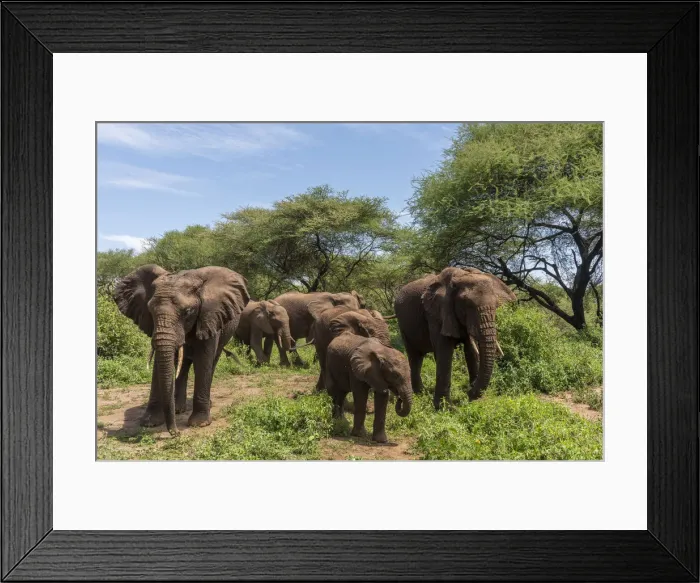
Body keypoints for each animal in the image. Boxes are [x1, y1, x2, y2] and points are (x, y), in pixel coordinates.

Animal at [114, 264, 250, 435]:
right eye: (150, 311)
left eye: (188, 312)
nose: (175, 432)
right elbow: (160, 363)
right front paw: (149, 423)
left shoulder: (209, 317)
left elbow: (203, 361)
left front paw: (200, 424)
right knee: (183, 365)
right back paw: (178, 409)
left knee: (211, 362)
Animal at [394, 266, 516, 409]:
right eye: (467, 305)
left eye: (497, 306)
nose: (469, 393)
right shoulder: (436, 313)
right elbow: (444, 351)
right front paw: (445, 408)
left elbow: (470, 351)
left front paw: (475, 399)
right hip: (403, 324)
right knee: (414, 356)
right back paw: (420, 394)